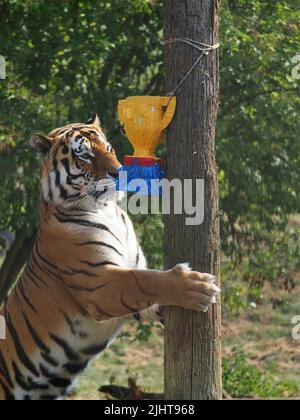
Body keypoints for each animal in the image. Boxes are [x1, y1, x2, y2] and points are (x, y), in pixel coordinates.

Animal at [0, 115, 220, 400]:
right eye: (85, 156)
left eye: (109, 148)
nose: (119, 172)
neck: (107, 210)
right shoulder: (99, 283)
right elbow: (147, 281)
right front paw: (197, 287)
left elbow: (149, 290)